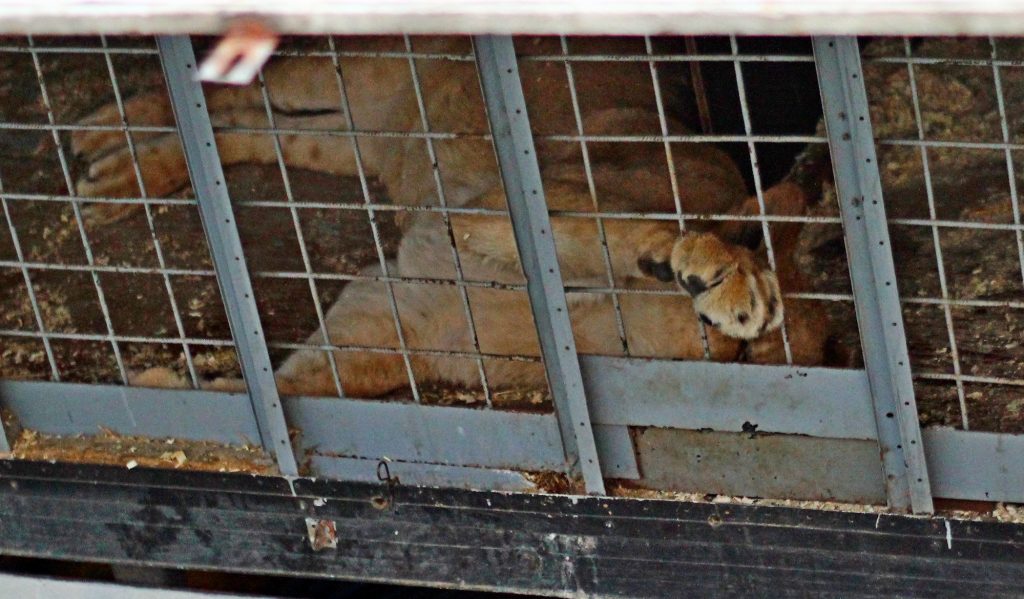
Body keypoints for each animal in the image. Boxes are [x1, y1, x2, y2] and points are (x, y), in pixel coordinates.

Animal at [72, 35, 839, 395]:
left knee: (245, 124)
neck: (608, 329)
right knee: (233, 82)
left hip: (353, 138)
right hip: (353, 75)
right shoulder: (509, 198)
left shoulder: (395, 314)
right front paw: (724, 275)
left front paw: (175, 392)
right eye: (748, 351)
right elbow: (614, 230)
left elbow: (315, 382)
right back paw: (99, 133)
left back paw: (122, 170)